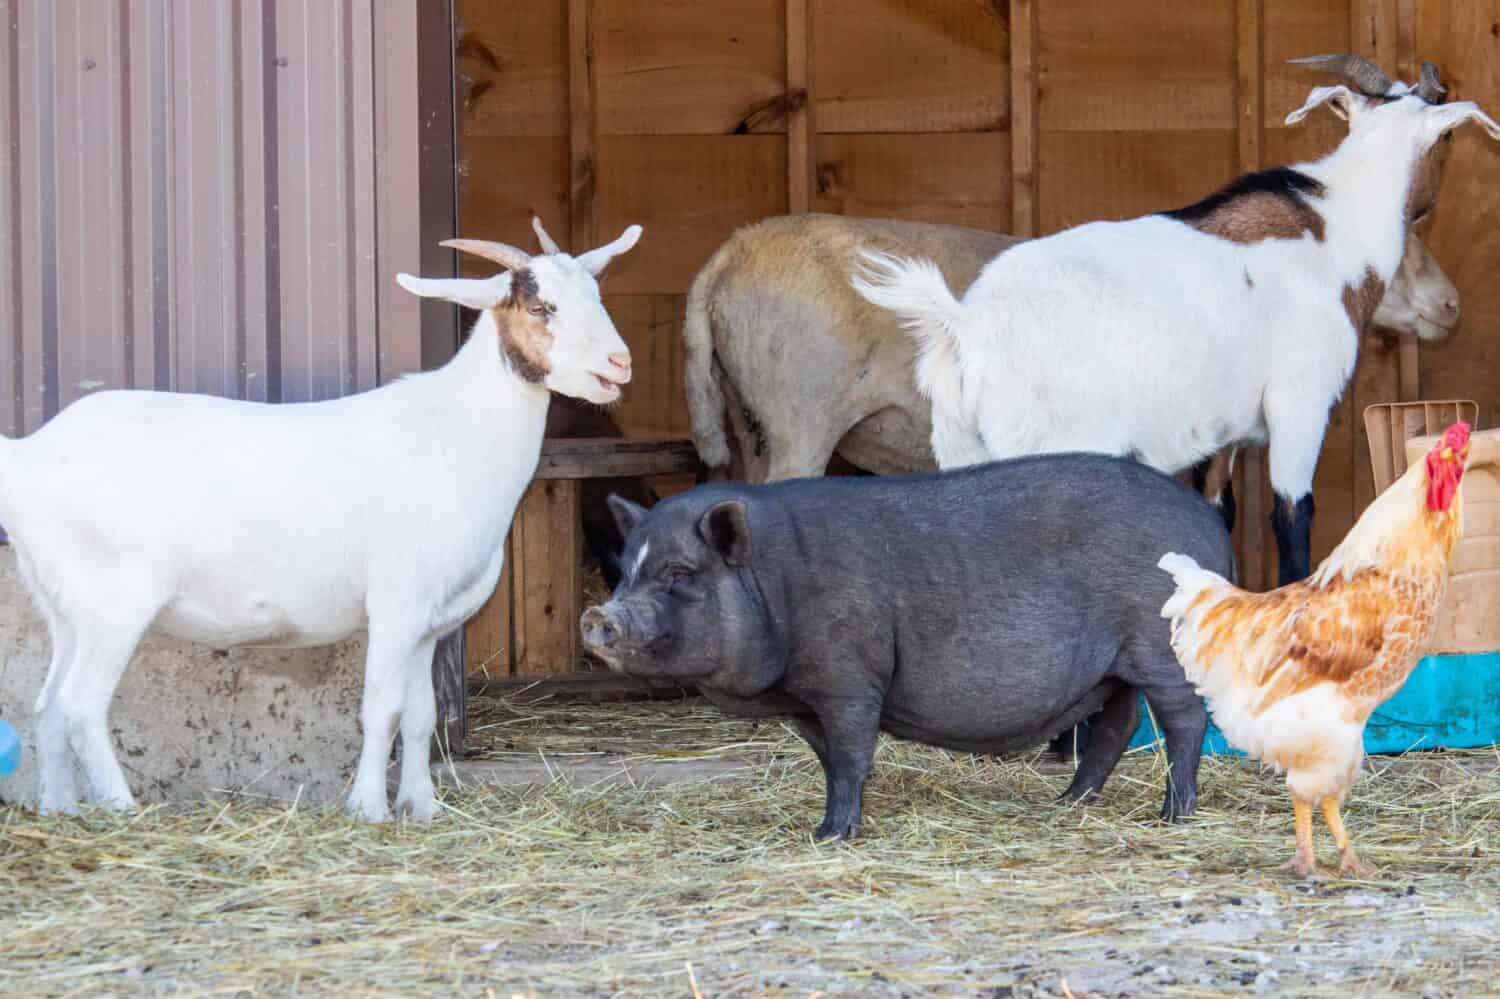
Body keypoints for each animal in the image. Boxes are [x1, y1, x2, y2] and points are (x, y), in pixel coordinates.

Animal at [0, 217, 639, 816]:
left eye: (597, 294)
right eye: (540, 306)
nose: (619, 363)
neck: (450, 429)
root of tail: (30, 455)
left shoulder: (430, 623)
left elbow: (421, 715)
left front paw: (423, 808)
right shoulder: (397, 604)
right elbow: (382, 710)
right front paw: (369, 808)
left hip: (65, 606)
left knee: (47, 705)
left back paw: (60, 807)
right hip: (116, 601)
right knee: (81, 703)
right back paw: (122, 808)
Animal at [582, 456, 1230, 834]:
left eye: (679, 573)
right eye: (626, 569)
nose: (598, 616)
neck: (777, 582)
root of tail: (1211, 524)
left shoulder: (849, 677)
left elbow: (851, 755)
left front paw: (831, 836)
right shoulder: (807, 699)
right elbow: (828, 760)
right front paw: (828, 827)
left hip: (1159, 648)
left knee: (1183, 722)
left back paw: (1174, 816)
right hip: (1114, 666)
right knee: (1118, 723)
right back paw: (1066, 804)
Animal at [852, 56, 1494, 585]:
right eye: (1447, 138)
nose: (1450, 307)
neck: (1332, 230)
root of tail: (966, 325)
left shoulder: (1226, 431)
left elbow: (1216, 516)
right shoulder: (1300, 402)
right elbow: (1292, 517)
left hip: (960, 452)